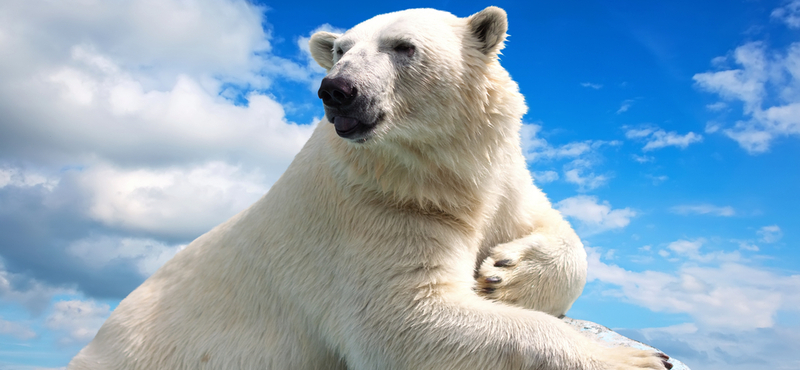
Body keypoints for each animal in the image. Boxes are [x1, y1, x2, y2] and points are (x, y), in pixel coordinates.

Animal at [67, 5, 668, 370]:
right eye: (341, 49)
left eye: (403, 46)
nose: (337, 90)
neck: (432, 174)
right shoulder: (372, 211)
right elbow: (406, 321)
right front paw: (639, 359)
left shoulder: (501, 178)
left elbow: (550, 228)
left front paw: (503, 275)